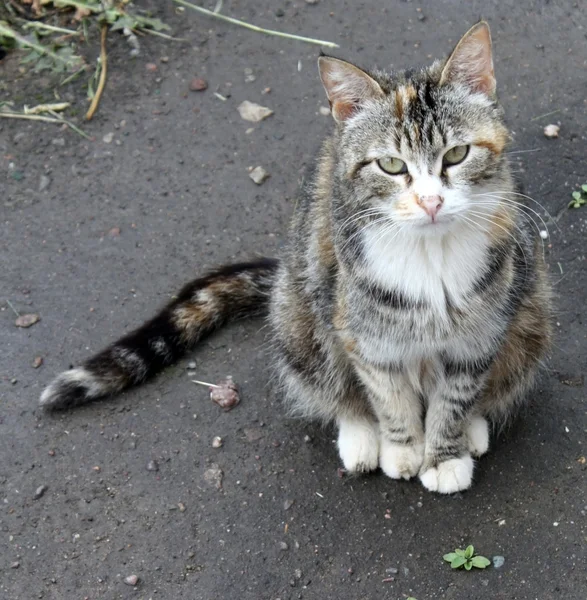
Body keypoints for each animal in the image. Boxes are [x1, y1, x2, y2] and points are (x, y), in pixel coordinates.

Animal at [40, 22, 552, 492]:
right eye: (390, 165)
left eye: (457, 154)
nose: (431, 202)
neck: (431, 257)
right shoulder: (365, 335)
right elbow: (389, 397)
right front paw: (404, 447)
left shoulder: (480, 334)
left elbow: (455, 397)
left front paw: (445, 454)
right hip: (301, 309)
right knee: (331, 382)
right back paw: (361, 436)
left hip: (531, 311)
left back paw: (474, 428)